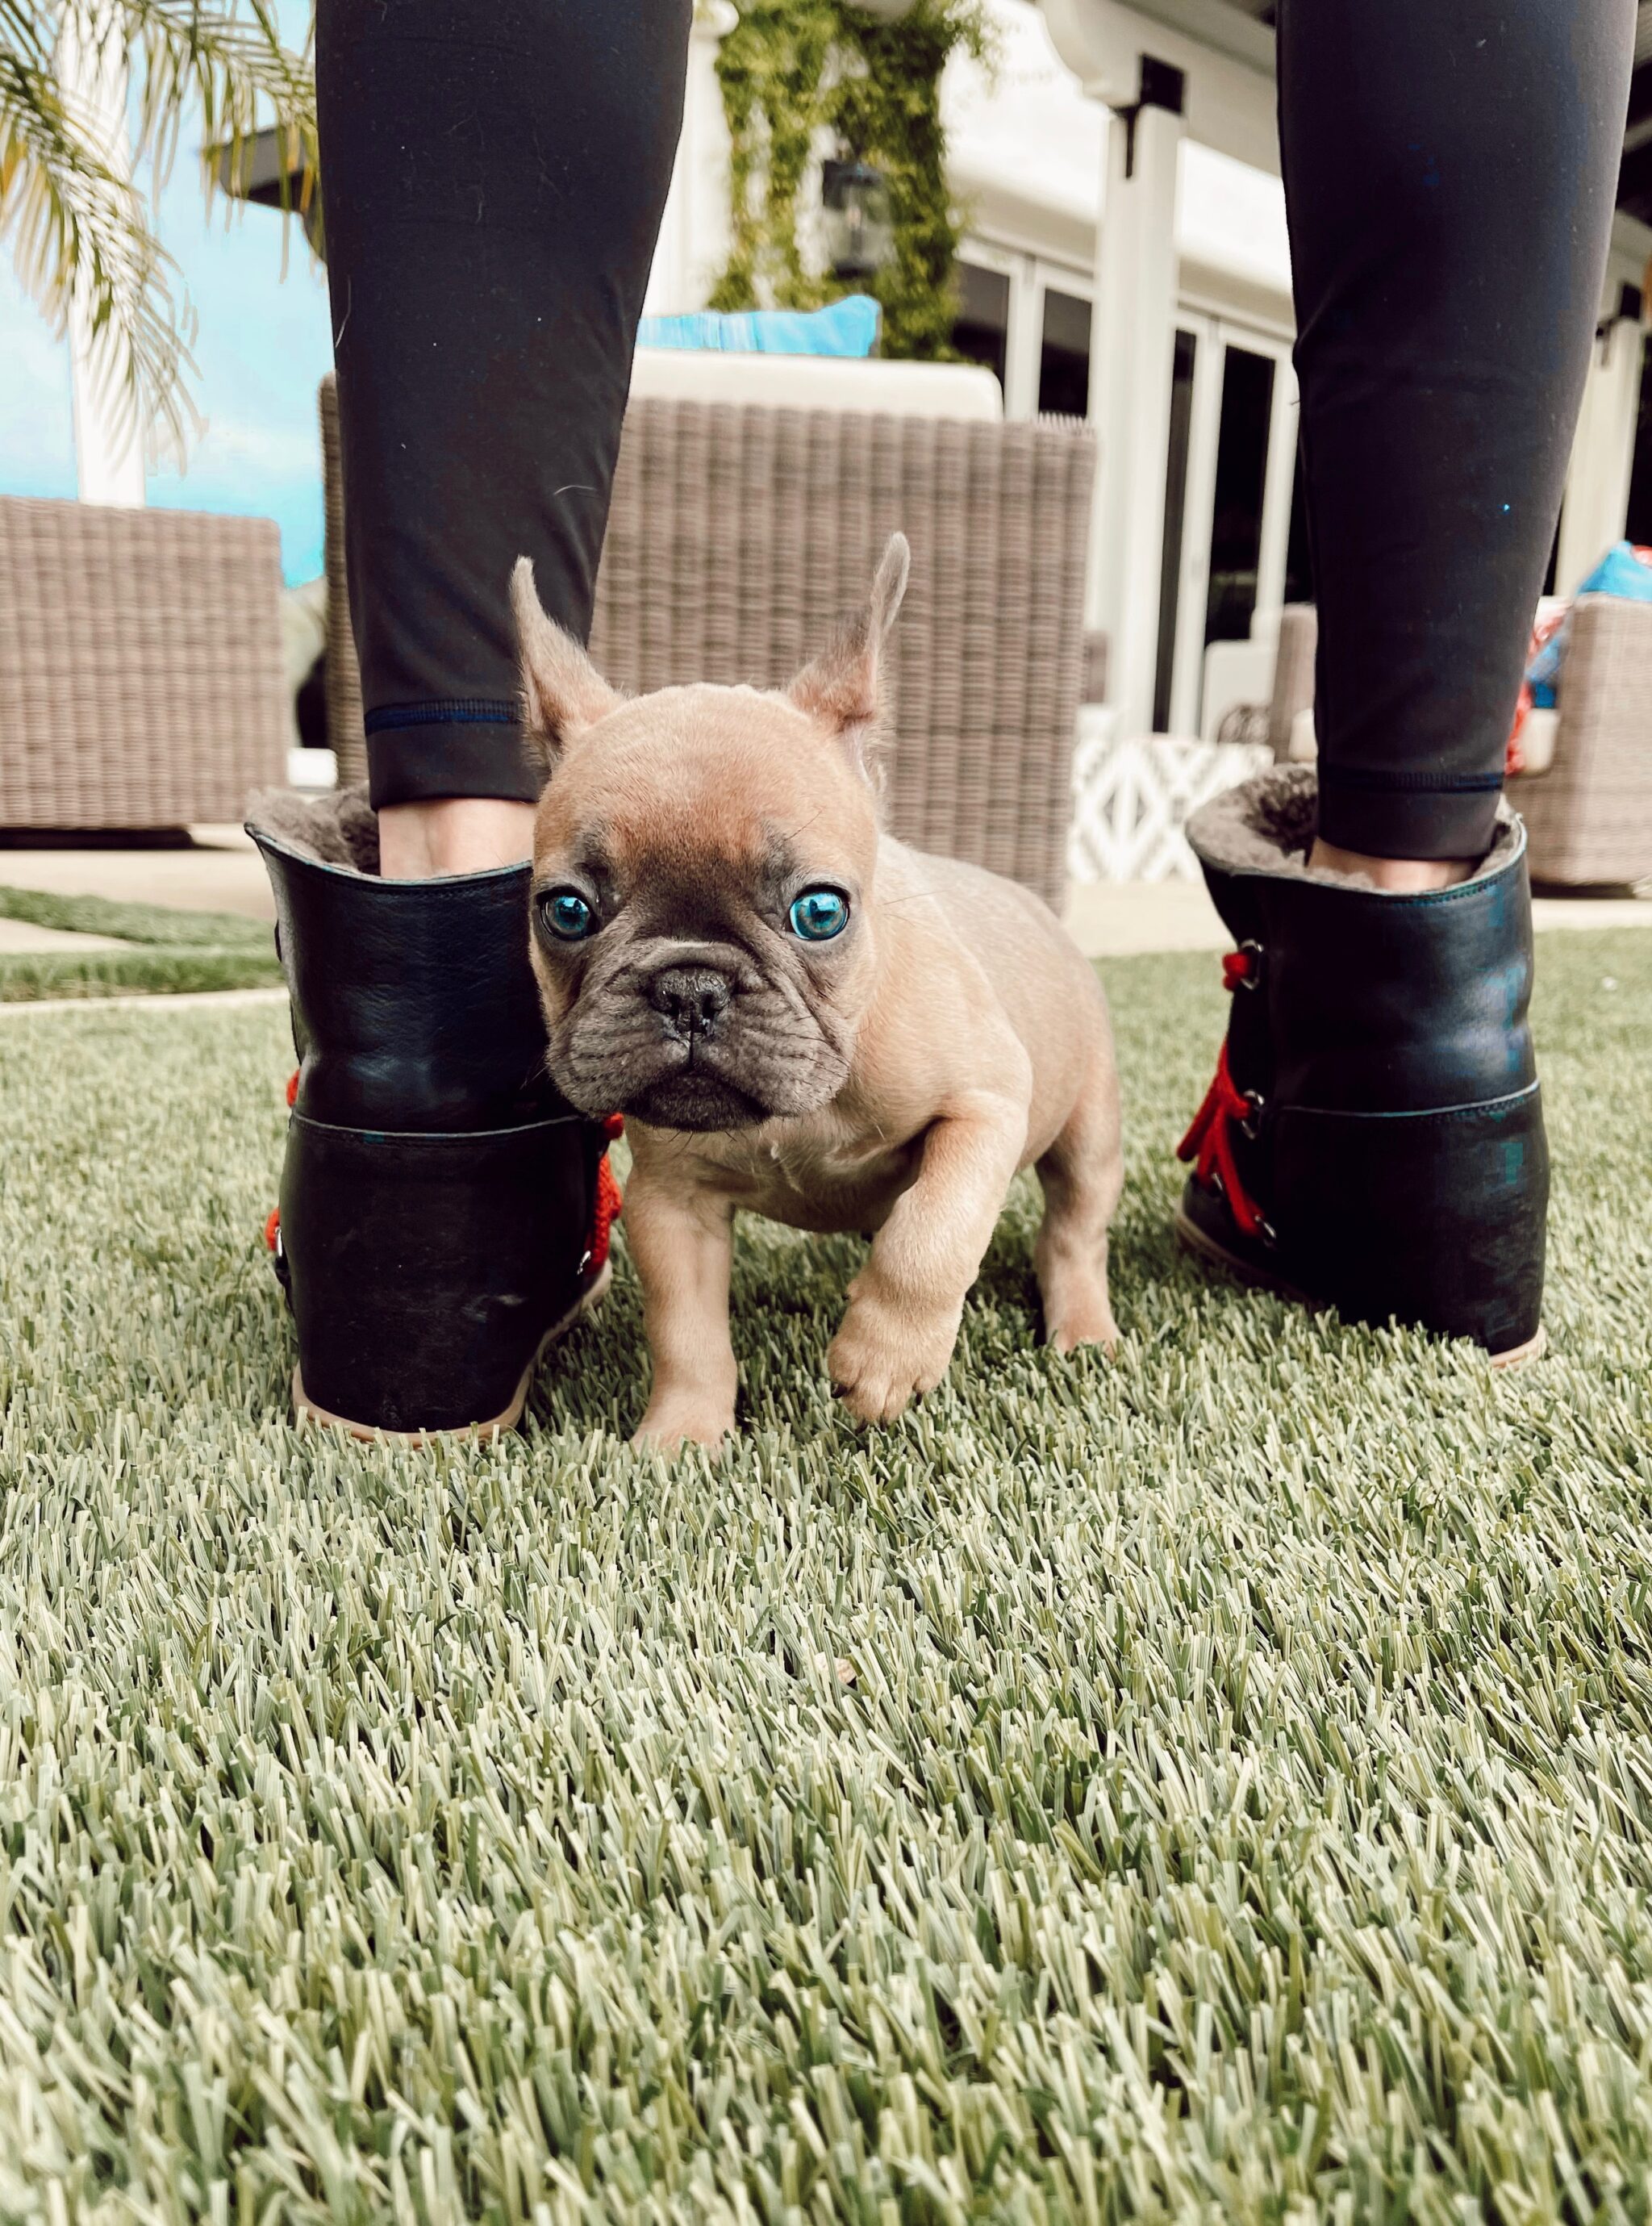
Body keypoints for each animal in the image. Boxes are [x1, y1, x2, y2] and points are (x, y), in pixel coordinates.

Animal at [516, 532, 1126, 1451]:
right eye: (565, 911)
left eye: (819, 911)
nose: (690, 987)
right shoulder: (670, 1205)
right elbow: (685, 1331)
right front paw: (681, 1437)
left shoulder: (986, 1103)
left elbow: (931, 1236)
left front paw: (883, 1358)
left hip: (1087, 1126)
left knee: (1073, 1230)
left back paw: (1083, 1329)